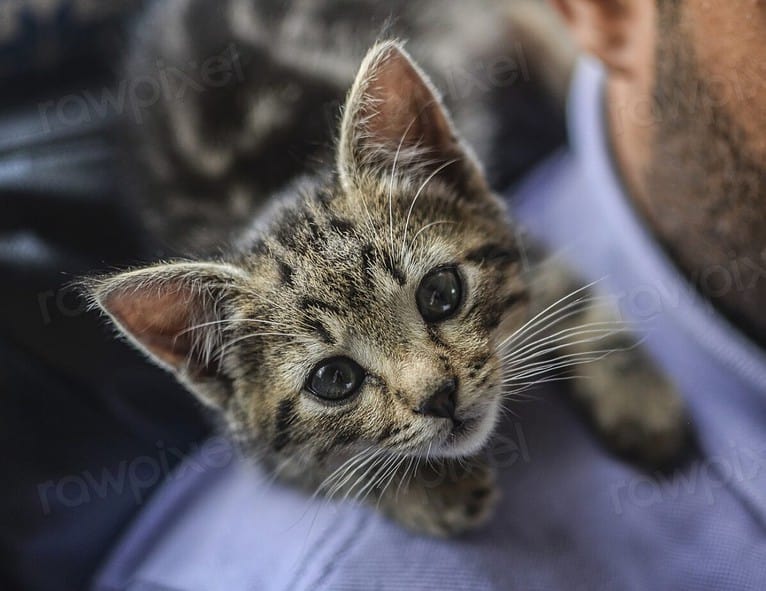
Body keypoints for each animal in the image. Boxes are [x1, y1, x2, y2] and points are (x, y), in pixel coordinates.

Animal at [88, 0, 688, 536]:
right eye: (334, 379)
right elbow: (317, 469)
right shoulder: (245, 436)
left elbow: (574, 297)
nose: (439, 397)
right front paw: (426, 489)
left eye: (441, 293)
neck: (266, 195)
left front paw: (638, 400)